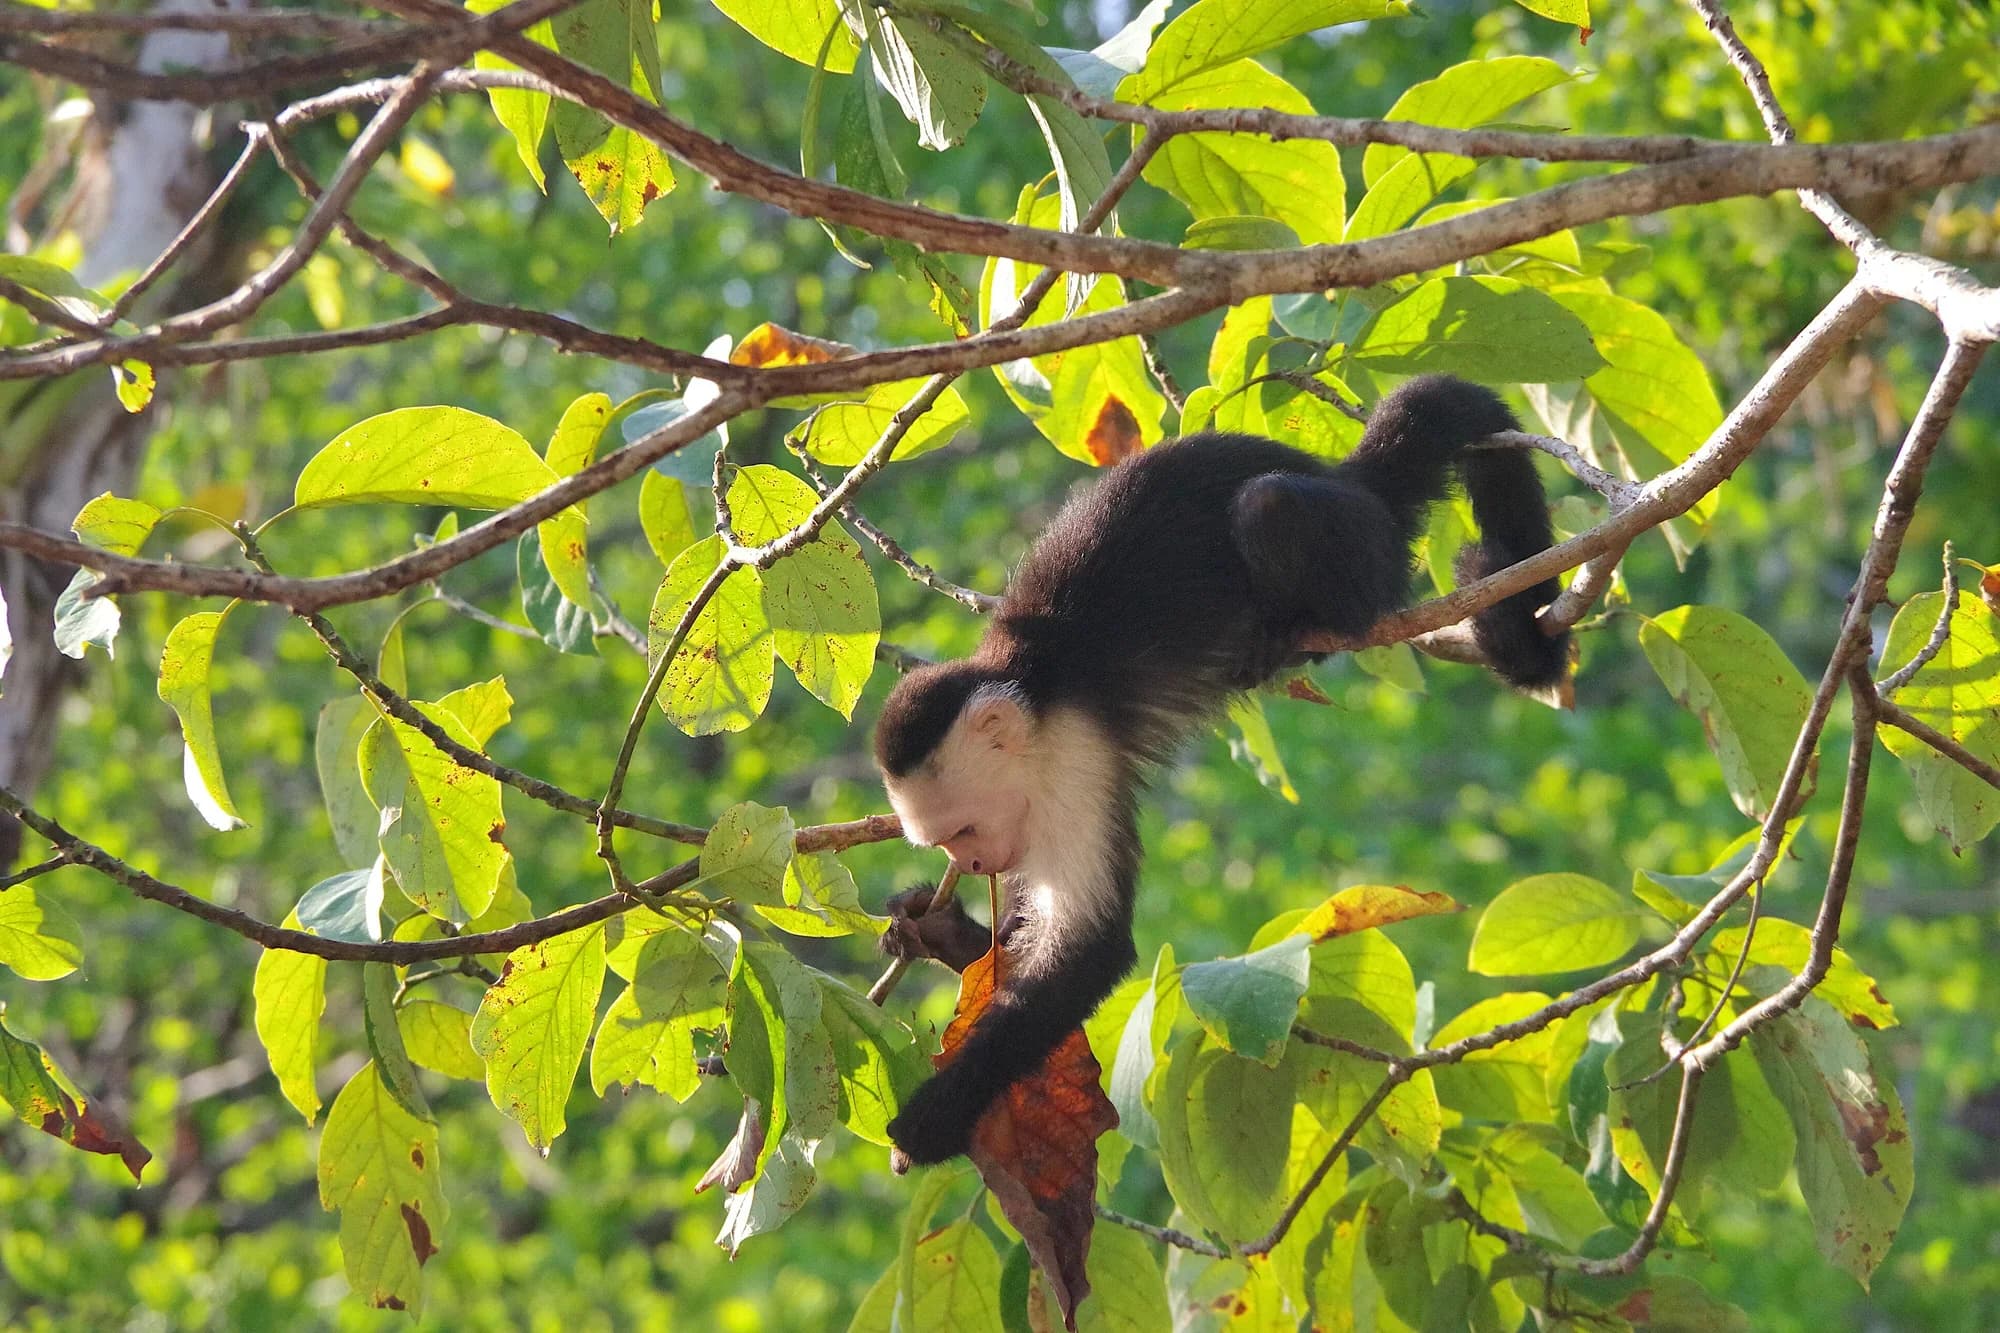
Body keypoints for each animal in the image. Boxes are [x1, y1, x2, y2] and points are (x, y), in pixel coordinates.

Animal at [872, 374, 1570, 1166]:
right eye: (946, 844)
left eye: (962, 830)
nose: (970, 862)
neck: (1031, 690)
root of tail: (1347, 476)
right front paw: (938, 932)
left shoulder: (1074, 762)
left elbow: (1088, 948)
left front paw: (933, 1119)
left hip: (1363, 541)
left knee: (1274, 510)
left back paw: (1298, 630)